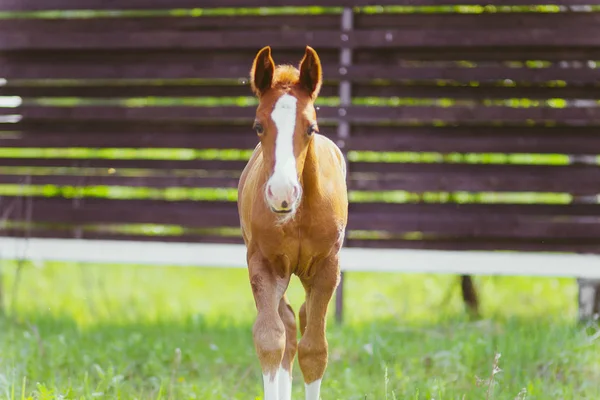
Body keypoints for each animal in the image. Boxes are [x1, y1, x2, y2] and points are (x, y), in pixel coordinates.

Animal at [237, 45, 350, 398]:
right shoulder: (264, 265)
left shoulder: (328, 267)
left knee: (299, 320)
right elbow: (270, 340)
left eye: (310, 127)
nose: (282, 193)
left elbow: (315, 351)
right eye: (258, 127)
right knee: (286, 325)